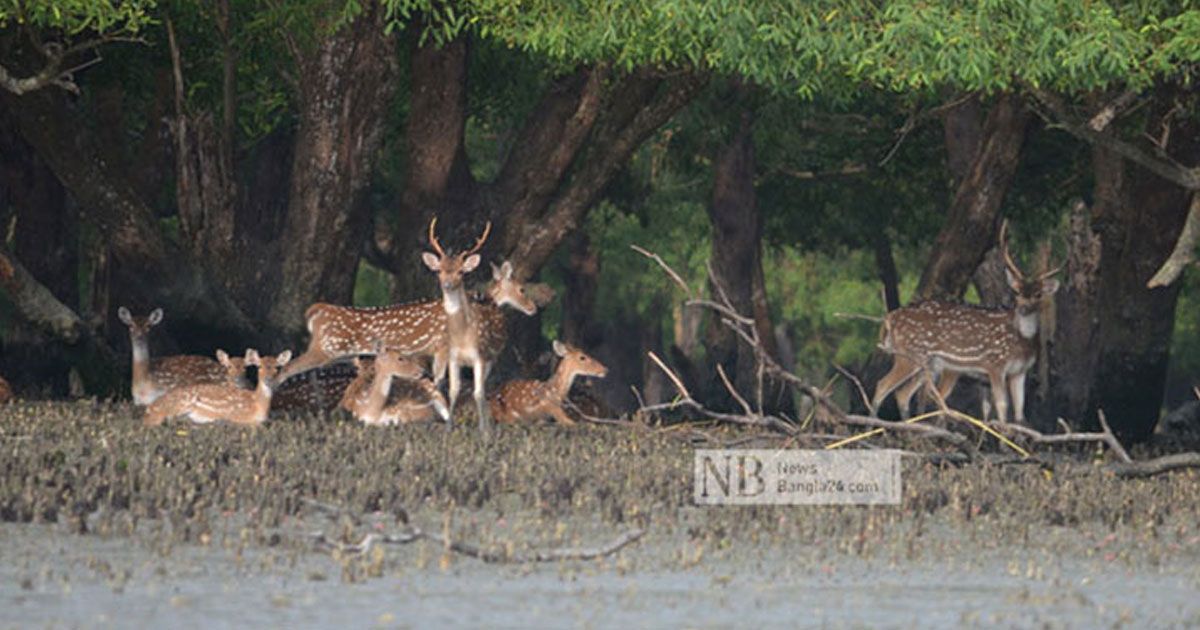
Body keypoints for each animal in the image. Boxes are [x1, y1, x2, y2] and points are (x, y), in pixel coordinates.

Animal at [144, 348, 294, 427]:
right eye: (259, 367)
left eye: (277, 367)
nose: (268, 380)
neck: (258, 406)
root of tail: (150, 407)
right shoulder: (238, 417)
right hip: (183, 402)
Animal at [873, 220, 1060, 422]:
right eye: (1016, 292)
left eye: (1038, 294)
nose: (1023, 308)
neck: (1022, 342)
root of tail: (890, 317)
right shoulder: (994, 364)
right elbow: (1002, 407)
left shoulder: (1020, 372)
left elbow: (1019, 414)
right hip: (910, 355)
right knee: (882, 386)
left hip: (928, 364)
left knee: (902, 394)